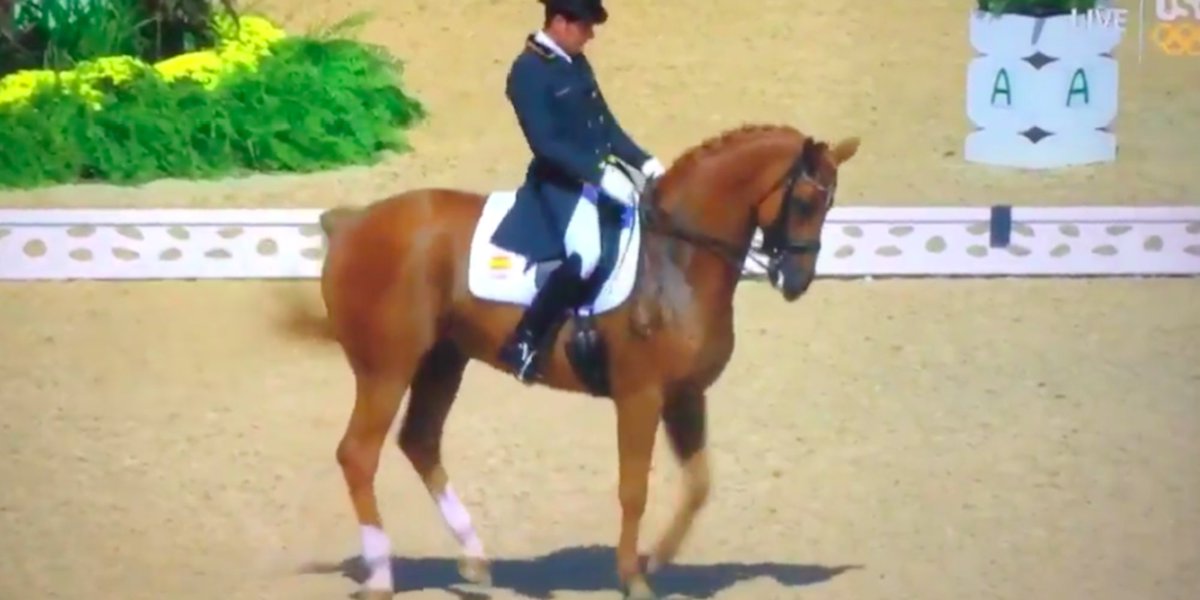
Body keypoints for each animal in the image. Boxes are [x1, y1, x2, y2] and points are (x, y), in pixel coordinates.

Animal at [285, 123, 860, 599]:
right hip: (386, 368)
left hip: (443, 360)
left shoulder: (686, 395)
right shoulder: (640, 396)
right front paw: (633, 578)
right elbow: (634, 489)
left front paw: (657, 559)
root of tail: (352, 222)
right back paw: (381, 576)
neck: (677, 262)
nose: (796, 281)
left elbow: (698, 485)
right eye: (805, 201)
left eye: (831, 204)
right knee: (358, 455)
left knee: (420, 441)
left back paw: (475, 559)